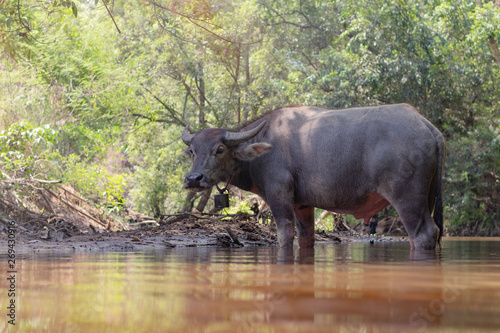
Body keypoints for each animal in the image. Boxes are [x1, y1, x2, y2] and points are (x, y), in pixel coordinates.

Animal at [183, 104, 446, 249]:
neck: (263, 147)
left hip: (408, 199)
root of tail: (426, 125)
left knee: (423, 234)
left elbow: (284, 236)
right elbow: (306, 238)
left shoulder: (279, 197)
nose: (193, 179)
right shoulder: (302, 205)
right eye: (193, 151)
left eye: (219, 149)